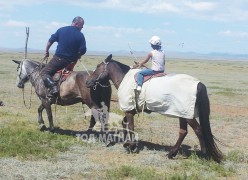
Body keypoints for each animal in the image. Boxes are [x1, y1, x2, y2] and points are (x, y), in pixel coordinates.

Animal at [86, 54, 224, 162]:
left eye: (98, 66)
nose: (88, 82)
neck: (125, 79)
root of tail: (198, 83)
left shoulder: (129, 110)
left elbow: (130, 126)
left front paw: (131, 146)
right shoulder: (131, 110)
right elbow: (124, 124)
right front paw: (127, 143)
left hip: (187, 115)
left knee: (199, 130)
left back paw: (204, 154)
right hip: (182, 113)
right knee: (183, 131)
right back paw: (171, 153)